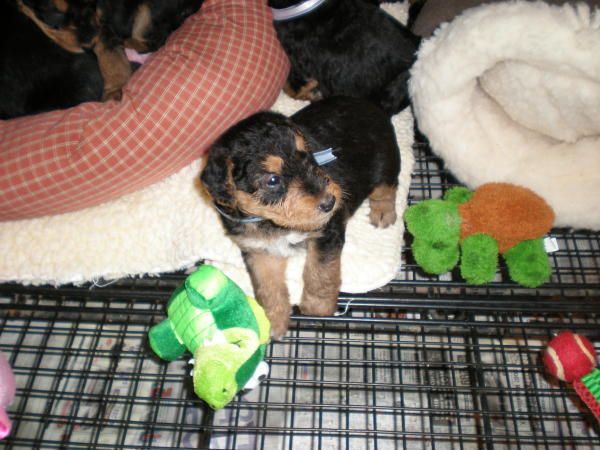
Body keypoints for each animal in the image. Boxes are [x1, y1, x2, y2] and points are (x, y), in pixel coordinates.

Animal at [201, 96, 401, 338]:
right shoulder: (259, 250)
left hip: (385, 160)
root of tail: (370, 104)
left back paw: (383, 212)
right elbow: (267, 287)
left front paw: (317, 309)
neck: (269, 222)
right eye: (273, 180)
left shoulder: (326, 233)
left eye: (306, 155)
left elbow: (320, 274)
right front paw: (273, 321)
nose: (329, 202)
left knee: (386, 188)